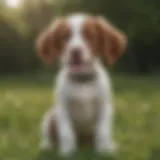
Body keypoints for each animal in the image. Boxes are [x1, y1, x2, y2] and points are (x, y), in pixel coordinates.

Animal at [35, 12, 127, 156]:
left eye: (90, 35)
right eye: (65, 37)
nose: (75, 51)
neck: (82, 80)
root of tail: (83, 143)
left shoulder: (104, 106)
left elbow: (103, 131)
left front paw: (104, 151)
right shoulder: (63, 108)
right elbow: (67, 133)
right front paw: (67, 152)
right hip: (50, 116)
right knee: (49, 135)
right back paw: (47, 146)